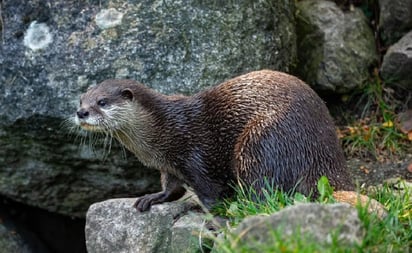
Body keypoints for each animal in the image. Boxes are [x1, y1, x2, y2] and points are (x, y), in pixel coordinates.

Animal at [75, 69, 352, 211]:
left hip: (263, 140)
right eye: (81, 100)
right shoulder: (170, 166)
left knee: (264, 195)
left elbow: (210, 193)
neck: (164, 130)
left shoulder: (195, 155)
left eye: (102, 102)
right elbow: (173, 189)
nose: (81, 112)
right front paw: (153, 197)